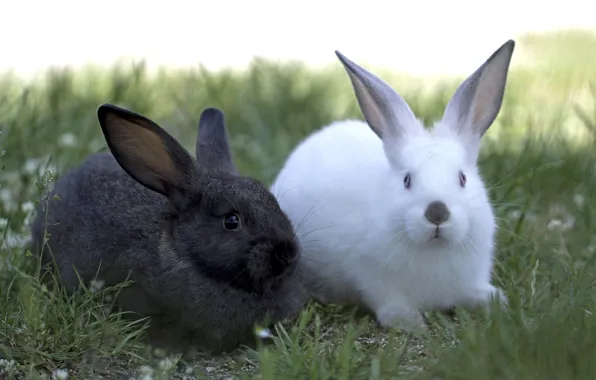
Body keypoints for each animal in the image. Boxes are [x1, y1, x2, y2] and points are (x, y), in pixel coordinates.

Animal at [272, 40, 516, 332]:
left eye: (462, 179)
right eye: (407, 180)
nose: (437, 212)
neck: (434, 250)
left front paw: (497, 303)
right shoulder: (373, 280)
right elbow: (389, 306)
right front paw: (412, 323)